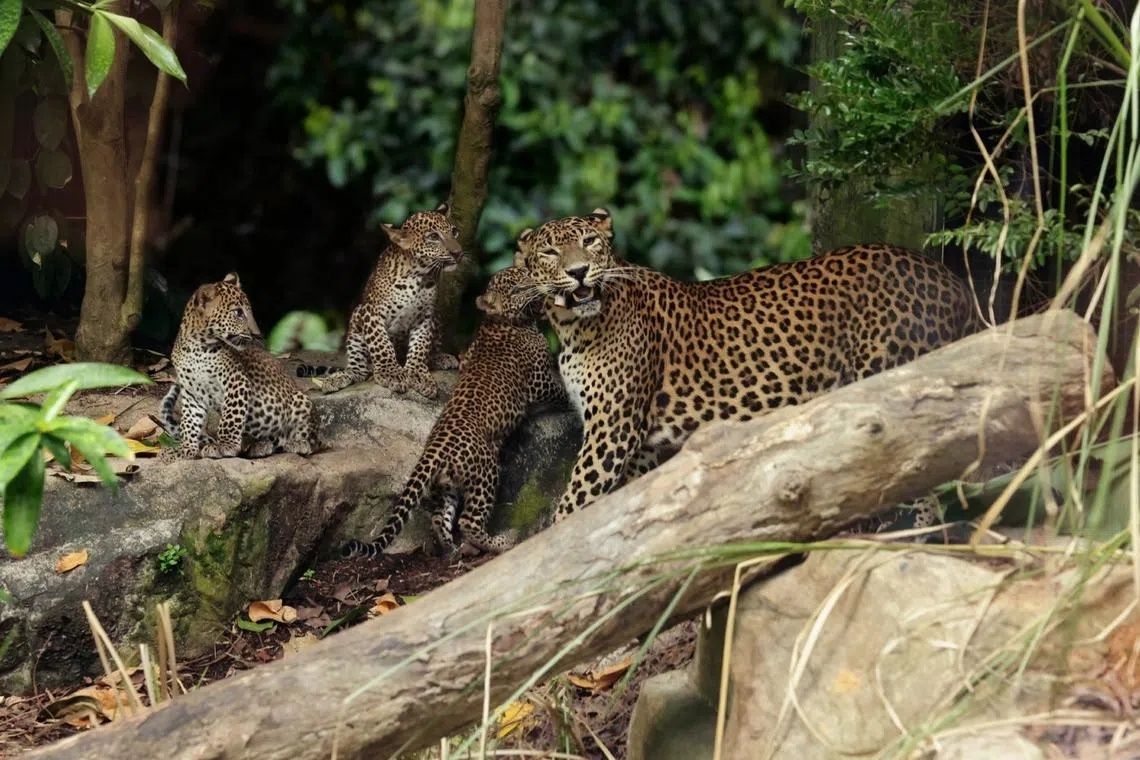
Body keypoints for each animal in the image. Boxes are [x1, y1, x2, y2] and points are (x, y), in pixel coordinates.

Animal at [160, 273, 318, 460]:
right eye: (238, 313)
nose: (257, 334)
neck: (197, 347)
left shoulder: (237, 381)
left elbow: (230, 416)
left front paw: (224, 445)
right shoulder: (192, 393)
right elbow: (189, 423)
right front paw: (184, 450)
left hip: (301, 402)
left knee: (312, 440)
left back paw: (298, 443)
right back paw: (261, 445)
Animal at [314, 203, 463, 399]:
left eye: (454, 232)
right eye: (433, 237)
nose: (458, 253)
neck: (419, 276)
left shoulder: (425, 317)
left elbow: (421, 346)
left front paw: (418, 374)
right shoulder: (371, 313)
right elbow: (381, 344)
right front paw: (391, 373)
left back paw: (441, 358)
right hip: (356, 320)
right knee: (359, 370)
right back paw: (337, 378)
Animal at [343, 265, 566, 558]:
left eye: (527, 274)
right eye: (518, 288)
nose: (538, 284)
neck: (499, 321)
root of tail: (434, 449)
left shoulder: (466, 358)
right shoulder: (540, 382)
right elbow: (559, 390)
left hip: (445, 485)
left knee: (441, 519)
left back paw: (452, 550)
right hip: (486, 472)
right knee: (468, 521)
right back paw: (501, 542)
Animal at [513, 208, 977, 521]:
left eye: (590, 242)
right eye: (550, 251)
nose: (579, 271)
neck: (574, 328)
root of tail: (950, 280)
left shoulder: (612, 431)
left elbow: (573, 506)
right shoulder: (639, 445)